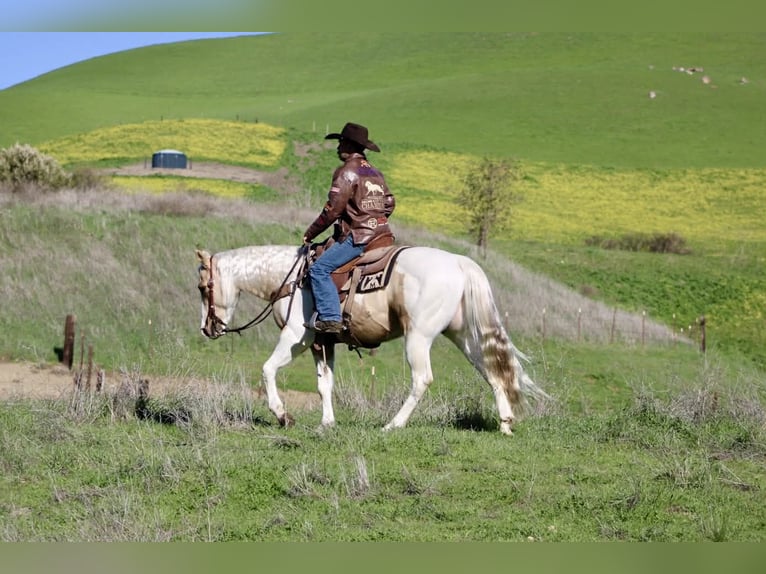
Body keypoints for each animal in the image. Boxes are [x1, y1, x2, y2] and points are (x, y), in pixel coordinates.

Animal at [196, 243, 548, 435]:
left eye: (202, 288)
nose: (207, 329)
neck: (293, 278)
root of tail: (459, 263)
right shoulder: (323, 342)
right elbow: (325, 385)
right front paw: (327, 423)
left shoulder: (298, 336)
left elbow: (268, 369)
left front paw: (283, 415)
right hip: (464, 336)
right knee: (493, 371)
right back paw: (505, 423)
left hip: (418, 337)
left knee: (422, 379)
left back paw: (393, 425)